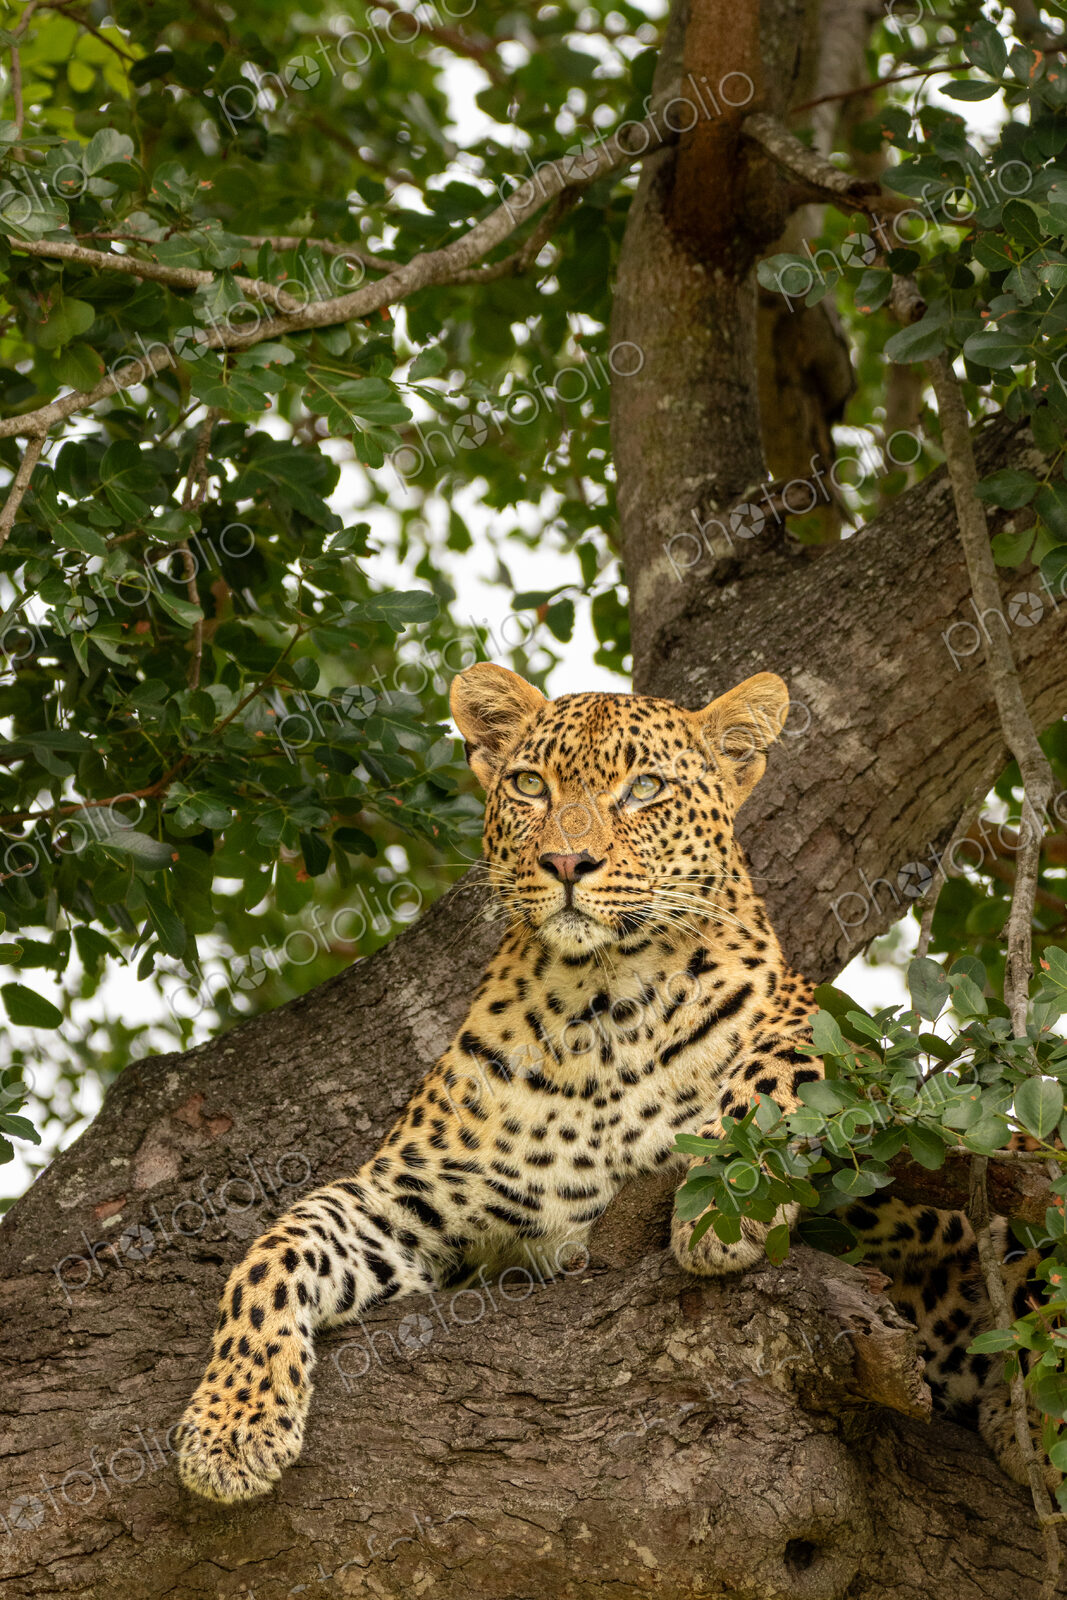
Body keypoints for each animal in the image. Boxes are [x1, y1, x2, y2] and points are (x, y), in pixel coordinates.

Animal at [175, 663, 1046, 1502]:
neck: (598, 1006)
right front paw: (230, 1429)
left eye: (645, 788)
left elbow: (775, 1070)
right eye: (531, 785)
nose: (566, 862)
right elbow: (276, 1249)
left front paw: (725, 1212)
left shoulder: (839, 1043)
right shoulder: (409, 1201)